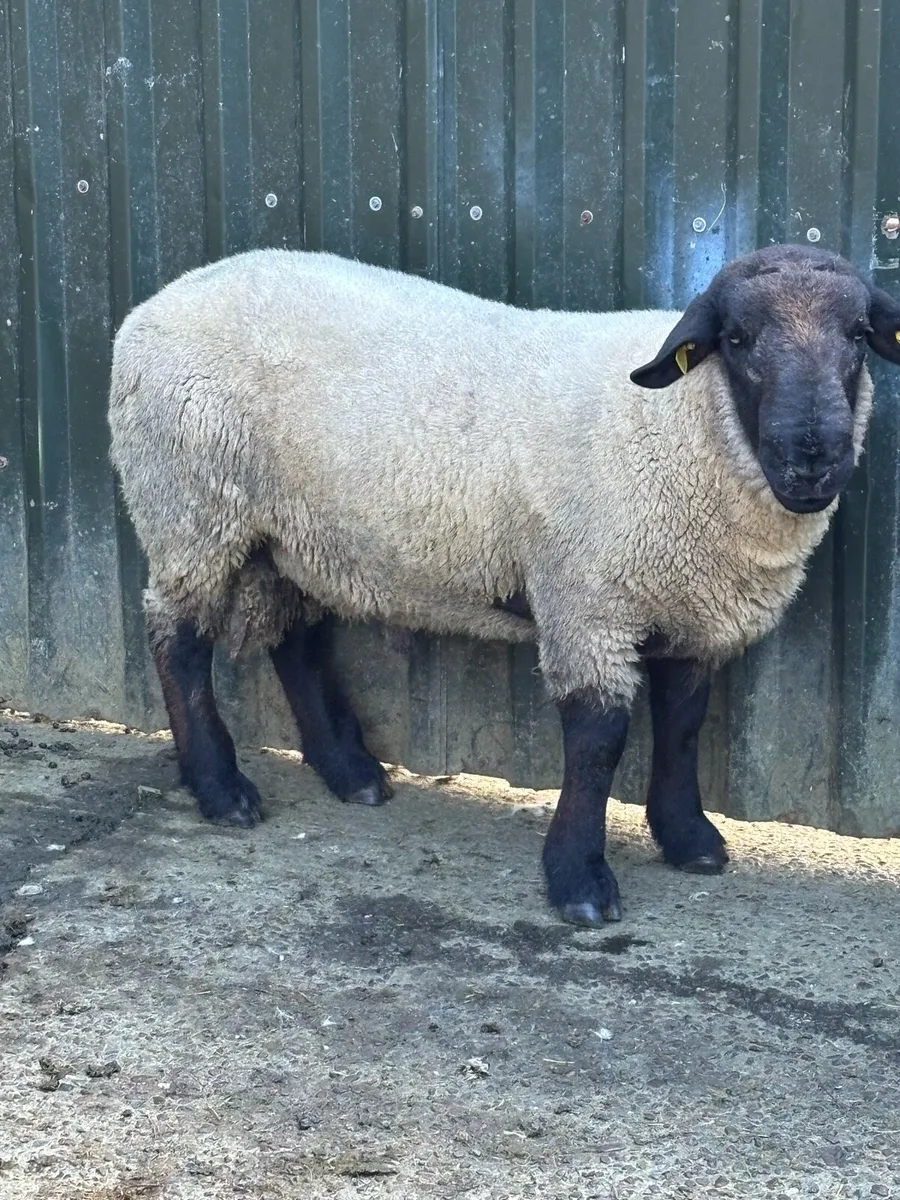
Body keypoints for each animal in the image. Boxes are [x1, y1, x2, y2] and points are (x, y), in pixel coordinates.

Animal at [108, 243, 900, 926]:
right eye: (737, 338)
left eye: (860, 334)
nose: (813, 458)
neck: (679, 422)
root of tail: (154, 304)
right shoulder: (586, 600)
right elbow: (598, 740)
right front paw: (579, 880)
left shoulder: (685, 605)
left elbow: (681, 723)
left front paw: (689, 840)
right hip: (190, 509)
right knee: (178, 642)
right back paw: (222, 790)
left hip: (293, 533)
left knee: (296, 641)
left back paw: (351, 772)